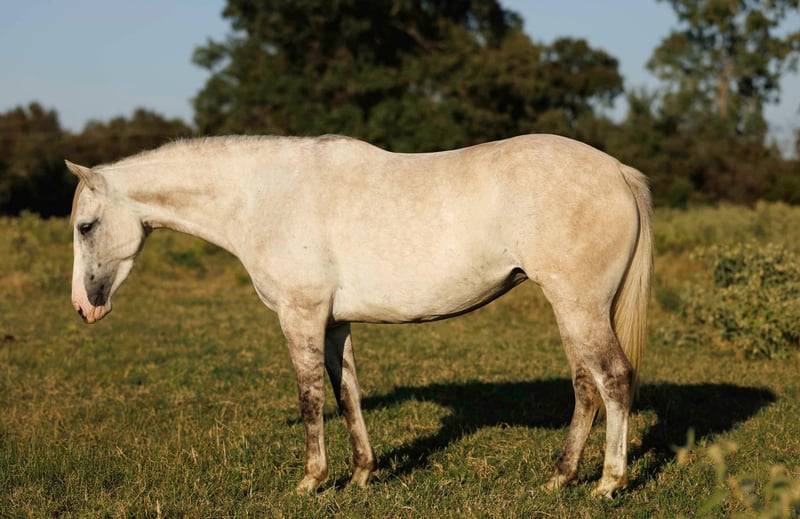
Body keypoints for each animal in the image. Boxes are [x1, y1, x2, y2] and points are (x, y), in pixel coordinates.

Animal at [67, 133, 652, 498]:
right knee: (585, 387)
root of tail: (617, 172)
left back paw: (609, 483)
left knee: (614, 380)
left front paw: (312, 480)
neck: (265, 196)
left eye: (84, 226)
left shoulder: (301, 316)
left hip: (579, 306)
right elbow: (347, 393)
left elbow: (310, 398)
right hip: (570, 308)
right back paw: (560, 478)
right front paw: (362, 475)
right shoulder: (334, 323)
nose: (83, 307)